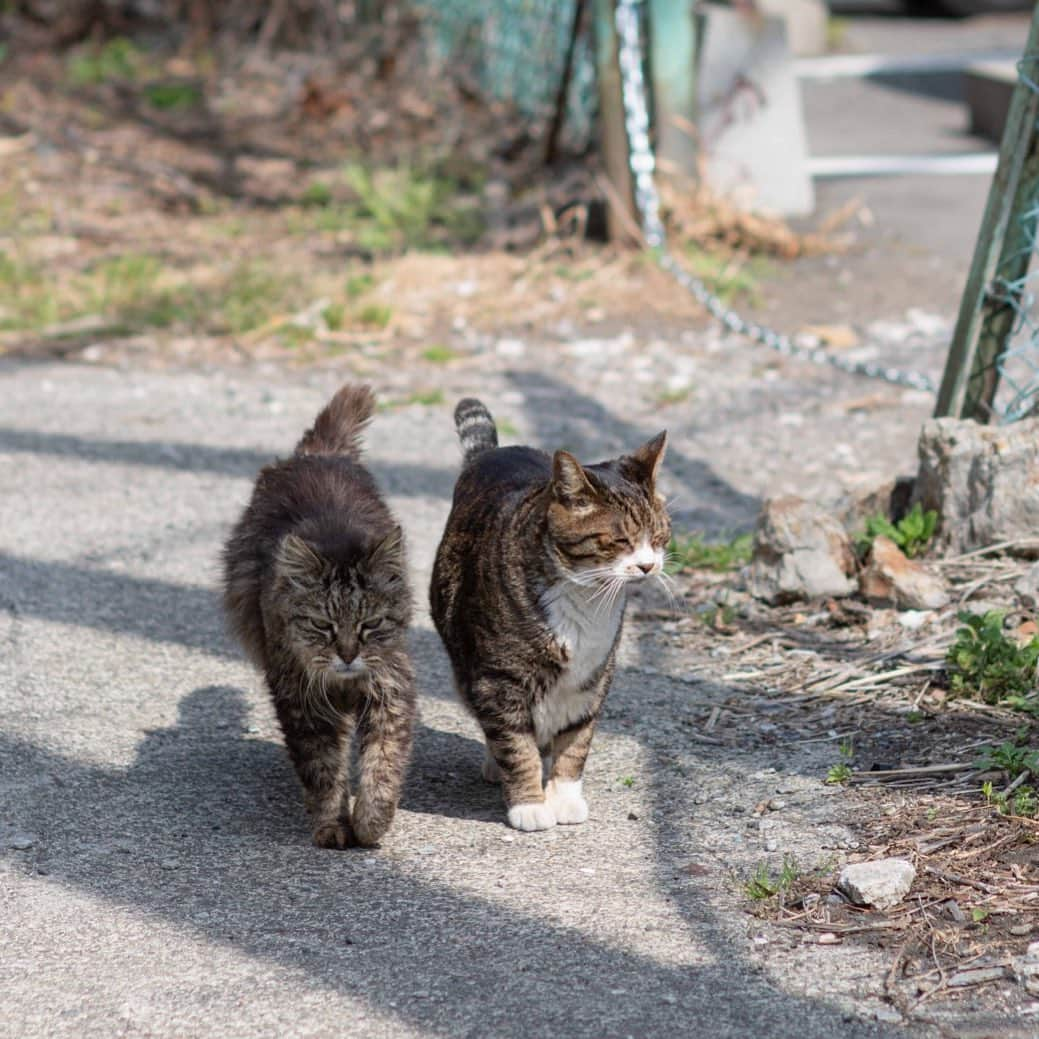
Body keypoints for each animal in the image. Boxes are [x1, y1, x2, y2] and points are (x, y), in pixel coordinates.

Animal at [223, 386, 413, 847]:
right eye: (321, 626)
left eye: (370, 625)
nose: (347, 654)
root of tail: (317, 454)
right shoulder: (302, 701)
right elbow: (323, 769)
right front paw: (333, 826)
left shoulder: (392, 689)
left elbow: (383, 765)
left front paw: (369, 823)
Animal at [428, 392, 664, 831]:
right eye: (619, 540)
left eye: (659, 536)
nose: (648, 565)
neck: (586, 600)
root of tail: (494, 453)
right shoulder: (499, 678)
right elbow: (514, 744)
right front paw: (530, 804)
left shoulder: (593, 676)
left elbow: (576, 741)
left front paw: (564, 797)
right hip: (466, 661)